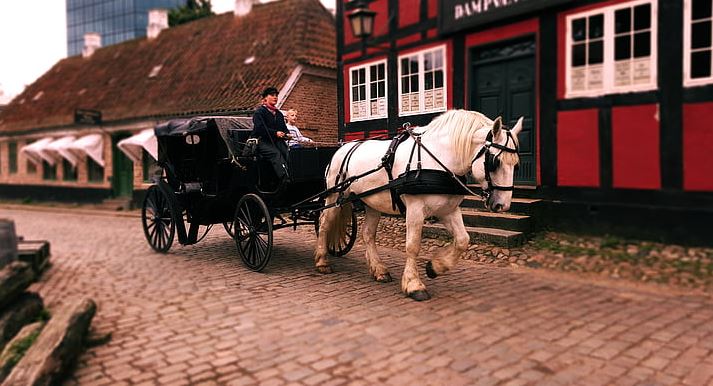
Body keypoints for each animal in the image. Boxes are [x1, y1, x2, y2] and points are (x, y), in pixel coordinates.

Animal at [314, 110, 520, 300]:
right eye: (494, 162)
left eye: (516, 165)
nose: (502, 205)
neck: (439, 159)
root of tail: (343, 147)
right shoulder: (415, 210)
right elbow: (413, 246)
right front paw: (414, 285)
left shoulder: (448, 210)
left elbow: (463, 240)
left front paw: (435, 267)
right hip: (334, 197)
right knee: (324, 224)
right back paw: (322, 261)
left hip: (372, 201)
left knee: (368, 234)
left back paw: (379, 269)